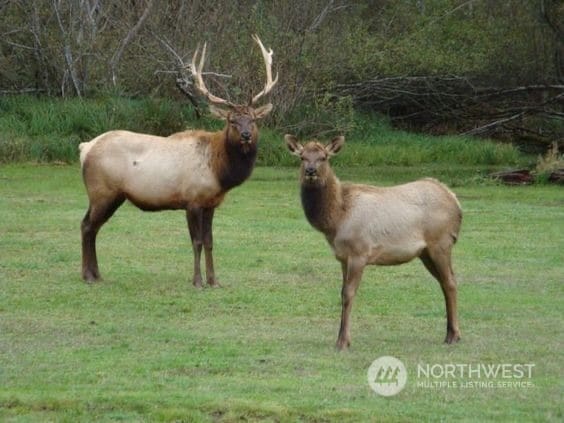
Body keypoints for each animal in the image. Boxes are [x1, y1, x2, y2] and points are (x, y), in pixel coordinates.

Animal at [80, 34, 278, 286]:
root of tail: (85, 148)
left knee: (93, 227)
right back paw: (88, 275)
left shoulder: (211, 203)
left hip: (111, 196)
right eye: (231, 121)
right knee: (87, 225)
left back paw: (96, 274)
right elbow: (197, 242)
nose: (246, 135)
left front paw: (214, 281)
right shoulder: (192, 200)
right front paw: (197, 281)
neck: (220, 172)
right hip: (102, 192)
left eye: (253, 119)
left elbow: (210, 242)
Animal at [286, 136, 462, 352]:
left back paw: (453, 335)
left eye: (323, 157)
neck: (336, 220)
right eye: (302, 157)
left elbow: (348, 294)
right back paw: (449, 333)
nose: (311, 171)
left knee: (450, 282)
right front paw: (343, 339)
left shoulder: (359, 253)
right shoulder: (343, 257)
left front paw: (342, 342)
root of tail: (455, 202)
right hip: (425, 252)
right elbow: (341, 293)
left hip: (441, 243)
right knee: (444, 282)